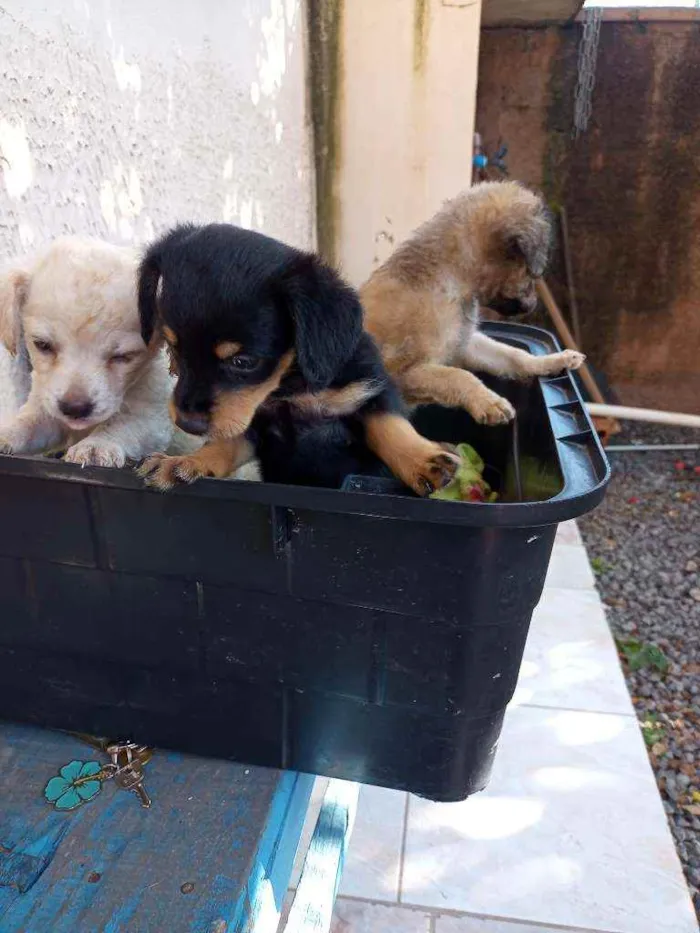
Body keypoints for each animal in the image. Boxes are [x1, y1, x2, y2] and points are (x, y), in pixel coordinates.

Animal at [0, 233, 174, 466]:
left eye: (123, 356)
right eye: (42, 345)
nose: (75, 408)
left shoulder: (151, 418)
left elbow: (120, 425)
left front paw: (96, 445)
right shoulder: (45, 407)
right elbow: (25, 424)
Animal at [135, 224, 460, 496]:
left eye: (244, 362)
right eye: (173, 348)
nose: (187, 423)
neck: (290, 386)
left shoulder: (368, 389)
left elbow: (389, 425)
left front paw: (425, 460)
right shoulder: (254, 428)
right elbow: (223, 446)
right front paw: (186, 462)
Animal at [360, 179, 584, 426]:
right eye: (530, 274)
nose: (533, 305)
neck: (450, 280)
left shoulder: (465, 345)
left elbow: (514, 355)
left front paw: (549, 361)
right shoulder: (398, 371)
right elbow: (457, 376)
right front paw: (488, 401)